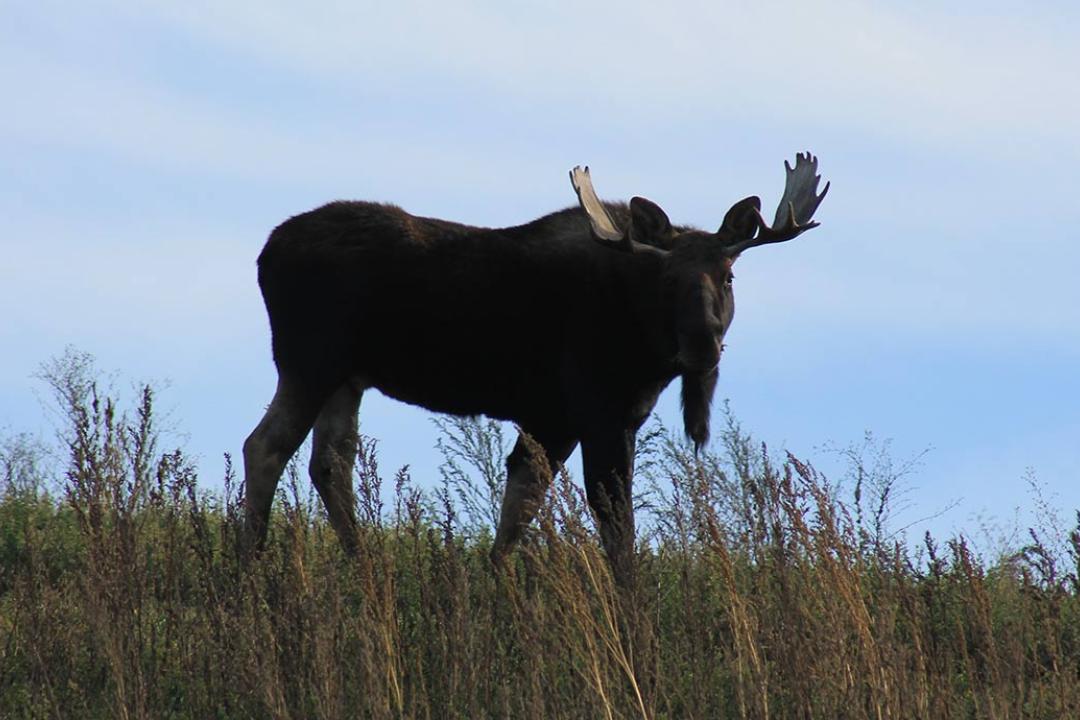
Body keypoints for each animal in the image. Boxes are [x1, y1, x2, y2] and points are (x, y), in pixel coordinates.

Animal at [243, 153, 828, 583]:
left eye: (728, 275)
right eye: (668, 279)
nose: (703, 345)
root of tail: (265, 252)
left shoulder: (558, 419)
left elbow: (517, 513)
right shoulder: (598, 412)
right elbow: (617, 528)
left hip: (348, 377)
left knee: (329, 462)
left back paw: (362, 567)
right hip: (309, 362)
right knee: (265, 445)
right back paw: (250, 564)